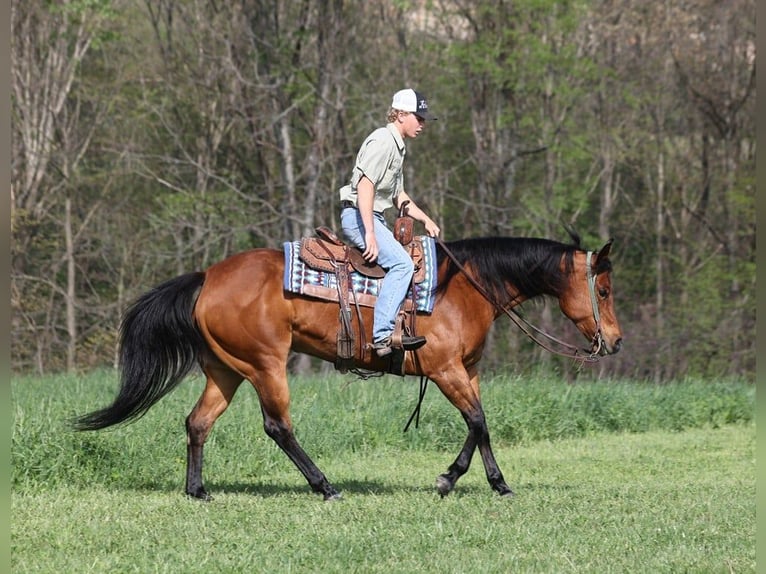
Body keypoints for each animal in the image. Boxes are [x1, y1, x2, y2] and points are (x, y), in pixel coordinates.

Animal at [73, 232, 624, 502]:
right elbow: (477, 420)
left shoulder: (467, 371)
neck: (464, 286)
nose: (615, 342)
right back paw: (325, 487)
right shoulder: (445, 371)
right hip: (266, 364)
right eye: (602, 290)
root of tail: (207, 276)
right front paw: (449, 479)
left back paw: (198, 491)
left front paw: (496, 483)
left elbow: (482, 425)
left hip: (226, 370)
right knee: (278, 426)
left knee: (197, 423)